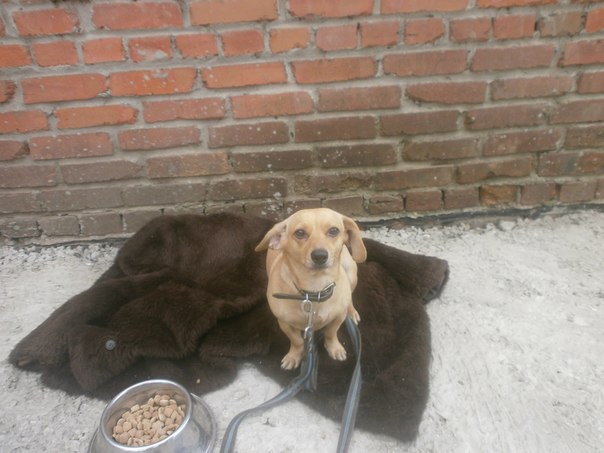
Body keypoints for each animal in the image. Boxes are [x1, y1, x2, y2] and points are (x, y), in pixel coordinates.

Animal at [255, 208, 367, 370]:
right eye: (300, 233)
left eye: (334, 230)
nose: (320, 255)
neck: (315, 290)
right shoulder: (284, 323)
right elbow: (297, 341)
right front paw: (294, 356)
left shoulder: (337, 318)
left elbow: (331, 333)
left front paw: (334, 348)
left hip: (351, 275)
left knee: (350, 298)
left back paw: (351, 312)